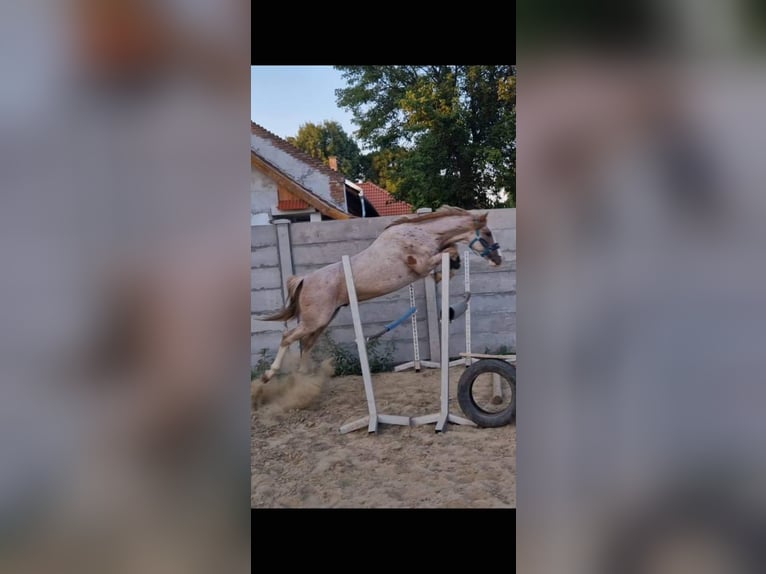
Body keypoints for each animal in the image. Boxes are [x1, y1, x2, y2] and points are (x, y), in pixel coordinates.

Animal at [258, 205, 504, 384]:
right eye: (488, 233)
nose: (498, 260)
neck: (423, 233)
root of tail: (305, 279)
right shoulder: (421, 264)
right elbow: (450, 252)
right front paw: (440, 274)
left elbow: (452, 255)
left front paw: (444, 273)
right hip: (315, 320)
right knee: (288, 337)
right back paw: (269, 375)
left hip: (322, 321)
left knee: (306, 344)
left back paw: (302, 377)